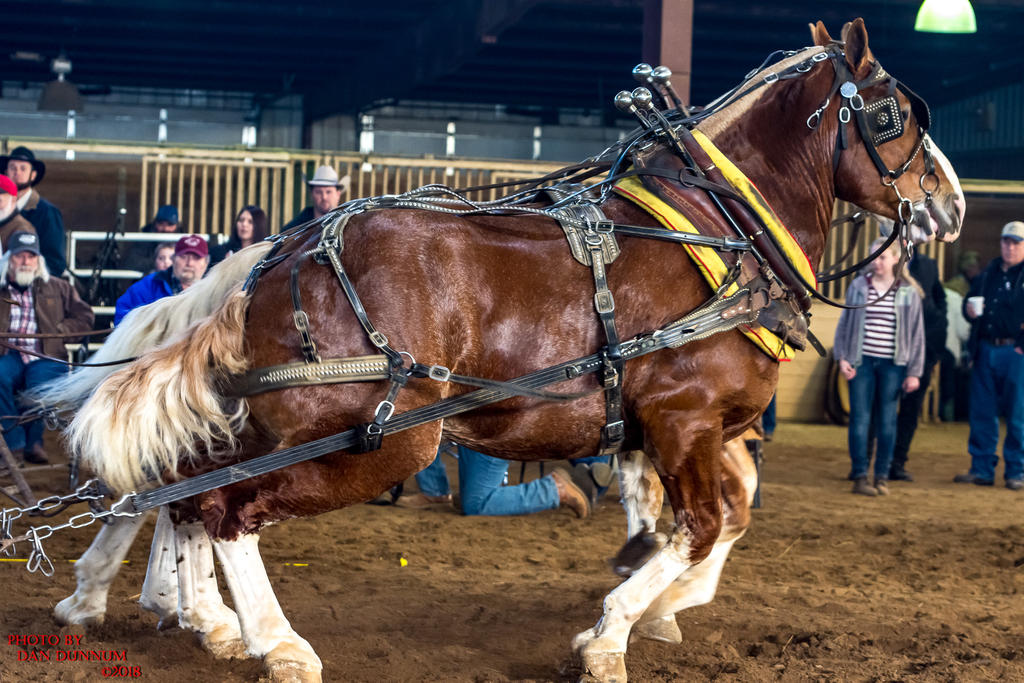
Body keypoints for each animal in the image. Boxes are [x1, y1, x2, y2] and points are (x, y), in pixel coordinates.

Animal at [37, 18, 964, 682]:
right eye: (894, 115)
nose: (951, 204)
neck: (725, 228)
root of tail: (284, 256)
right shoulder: (684, 421)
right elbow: (700, 526)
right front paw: (612, 631)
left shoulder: (705, 429)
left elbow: (729, 517)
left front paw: (658, 606)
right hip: (380, 436)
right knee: (224, 506)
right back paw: (270, 639)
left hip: (284, 420)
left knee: (181, 488)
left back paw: (179, 610)